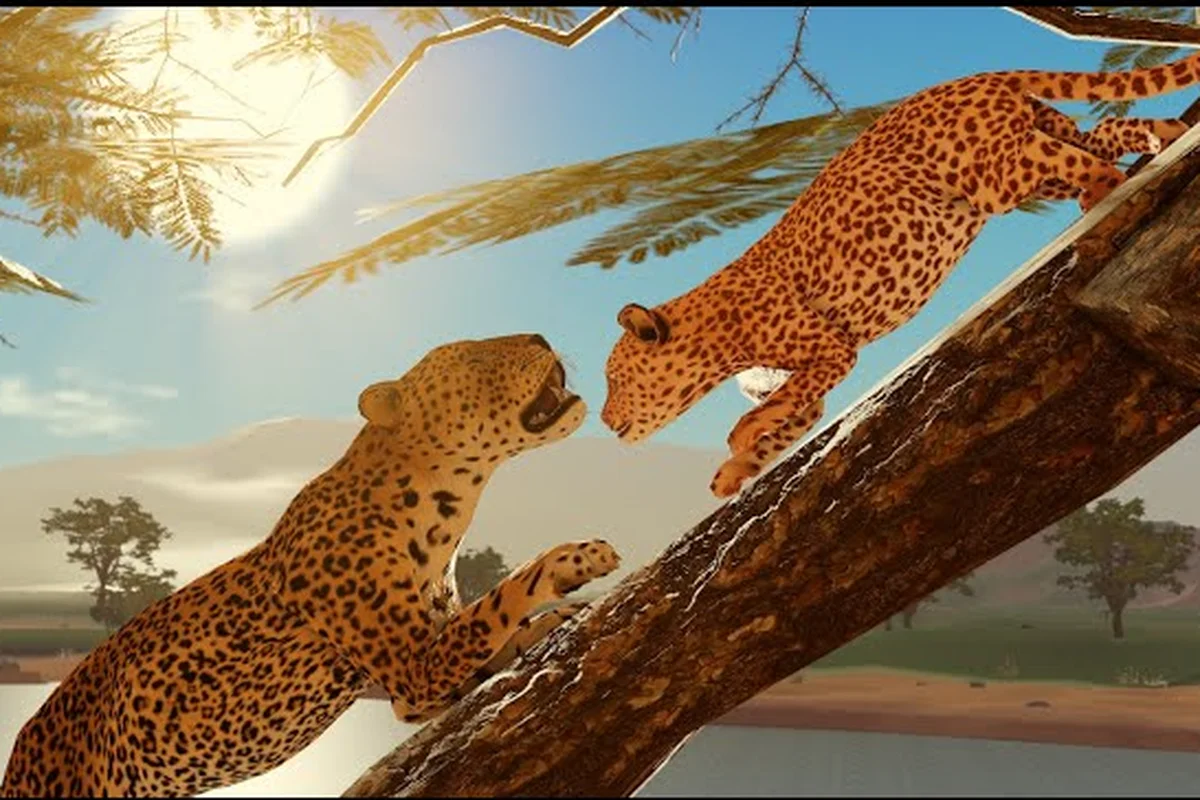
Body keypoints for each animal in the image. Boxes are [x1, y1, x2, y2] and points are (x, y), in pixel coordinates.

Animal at [1, 334, 620, 798]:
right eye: (473, 357)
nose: (541, 337)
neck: (445, 512)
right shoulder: (416, 669)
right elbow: (505, 593)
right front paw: (576, 559)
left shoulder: (414, 689)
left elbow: (496, 632)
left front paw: (551, 622)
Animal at [600, 51, 1200, 499]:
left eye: (615, 380)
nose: (605, 421)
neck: (714, 338)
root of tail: (972, 76)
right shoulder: (815, 381)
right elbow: (786, 418)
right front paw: (736, 469)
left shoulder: (832, 351)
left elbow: (769, 410)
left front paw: (739, 441)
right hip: (1031, 148)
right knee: (1107, 131)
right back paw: (1163, 136)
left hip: (997, 175)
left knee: (1089, 162)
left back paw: (1105, 194)